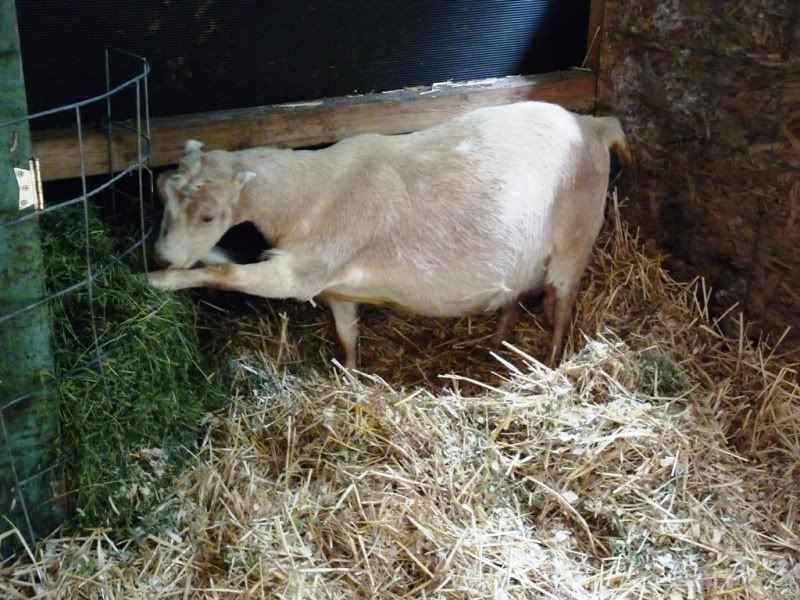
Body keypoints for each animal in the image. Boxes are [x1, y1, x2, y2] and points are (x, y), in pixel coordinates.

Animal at [145, 101, 631, 369]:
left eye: (209, 216)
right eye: (161, 193)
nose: (164, 256)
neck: (310, 192)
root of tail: (594, 125)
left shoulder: (301, 273)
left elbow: (230, 276)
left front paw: (157, 281)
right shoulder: (335, 289)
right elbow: (347, 337)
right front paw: (350, 375)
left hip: (575, 240)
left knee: (563, 306)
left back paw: (550, 362)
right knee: (514, 295)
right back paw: (497, 341)